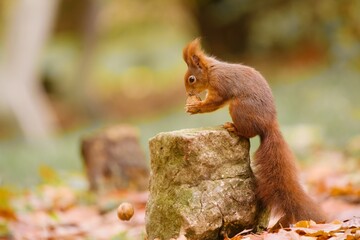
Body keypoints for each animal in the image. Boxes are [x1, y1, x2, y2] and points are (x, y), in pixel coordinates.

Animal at [183, 38, 326, 227]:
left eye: (191, 79)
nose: (188, 93)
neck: (212, 71)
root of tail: (268, 124)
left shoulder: (220, 86)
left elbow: (215, 102)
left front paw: (196, 107)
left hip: (238, 108)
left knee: (248, 133)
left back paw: (234, 128)